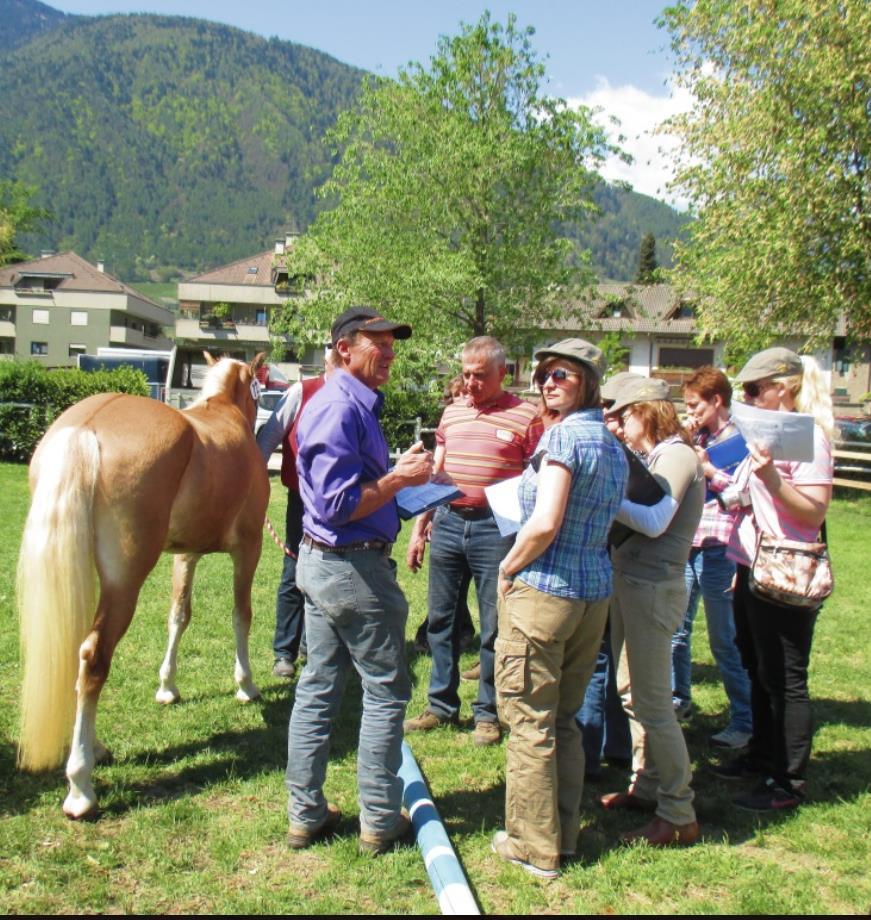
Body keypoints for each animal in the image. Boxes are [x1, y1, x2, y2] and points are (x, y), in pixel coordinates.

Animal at [16, 352, 270, 820]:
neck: (223, 414)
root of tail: (85, 428)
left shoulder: (185, 555)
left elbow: (179, 616)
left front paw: (167, 687)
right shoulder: (248, 548)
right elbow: (241, 616)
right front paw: (246, 685)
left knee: (75, 652)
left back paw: (94, 748)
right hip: (125, 580)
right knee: (93, 657)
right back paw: (80, 786)